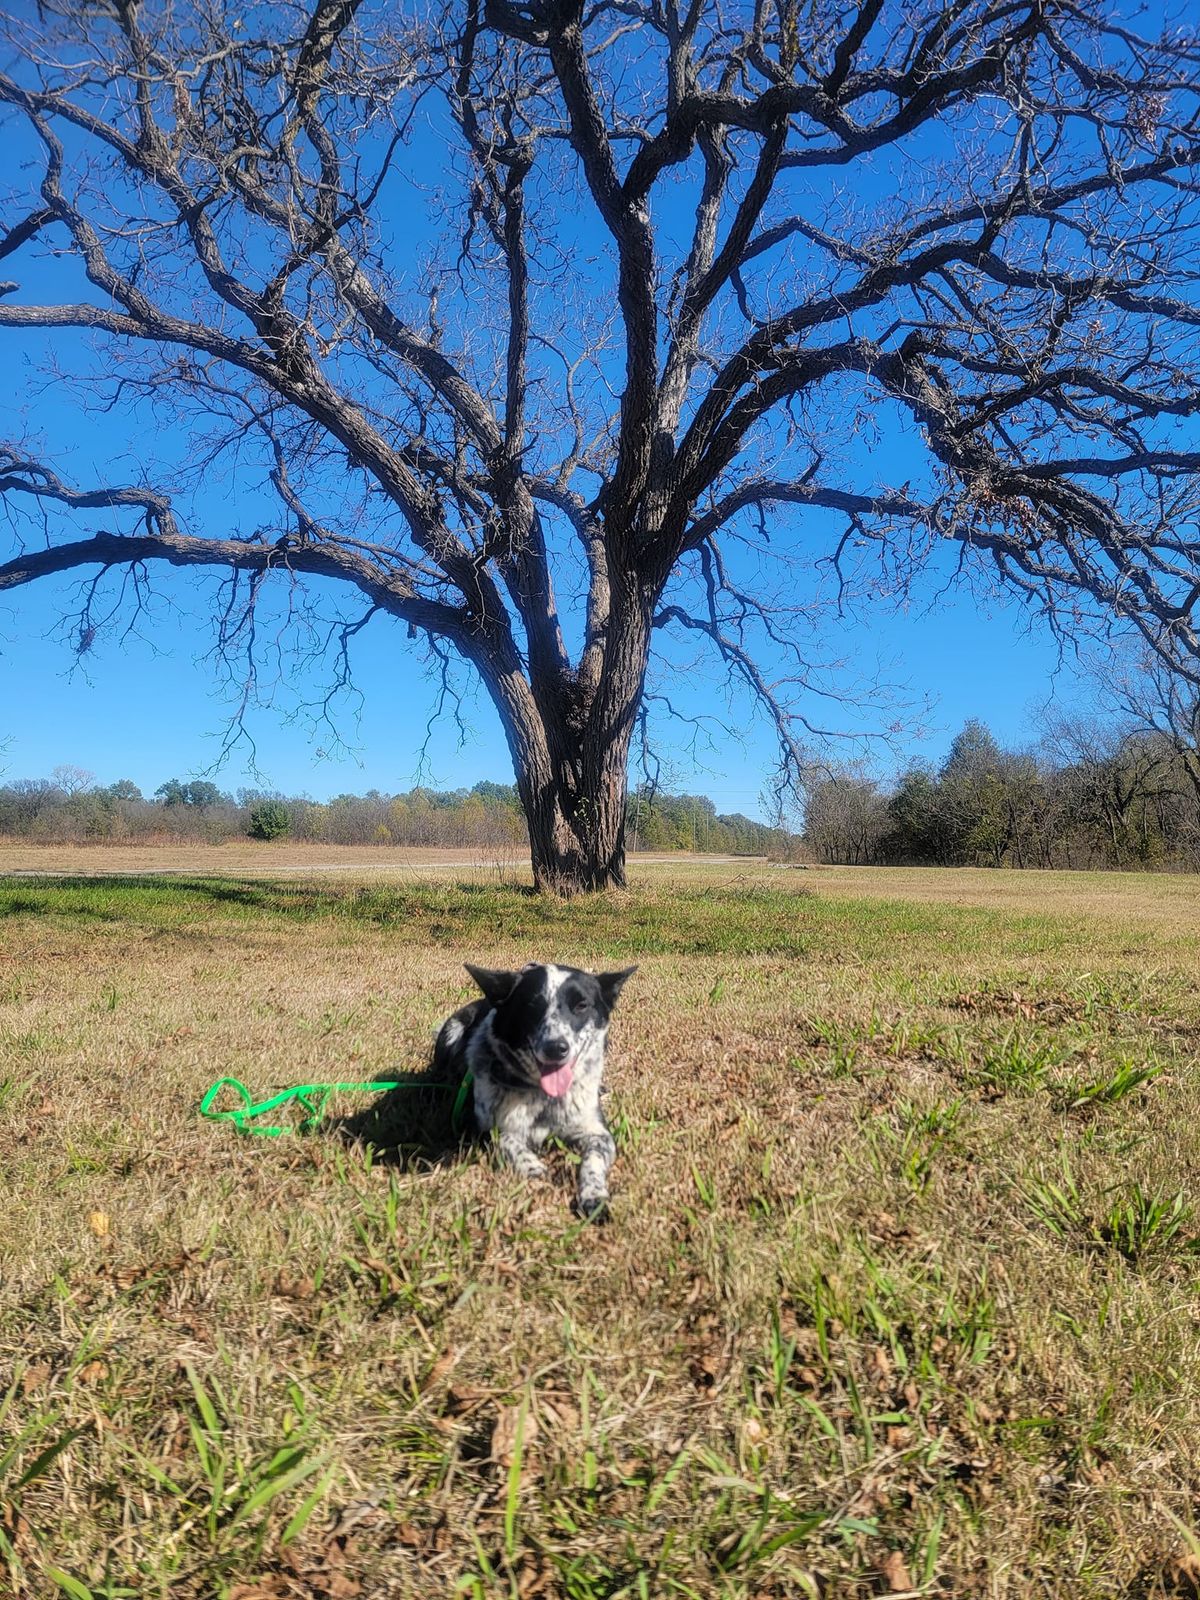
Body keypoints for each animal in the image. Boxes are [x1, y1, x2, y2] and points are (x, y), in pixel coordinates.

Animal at [435, 966, 640, 1216]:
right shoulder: (475, 1127)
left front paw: (593, 1195)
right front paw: (532, 1167)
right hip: (452, 1029)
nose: (556, 1048)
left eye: (582, 1005)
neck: (544, 1097)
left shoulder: (598, 1133)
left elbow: (593, 1160)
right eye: (531, 1005)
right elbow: (506, 1140)